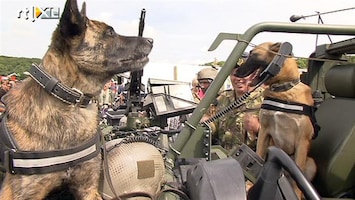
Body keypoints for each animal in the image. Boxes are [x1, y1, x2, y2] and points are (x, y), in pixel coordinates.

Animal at [236, 41, 318, 197]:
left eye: (252, 53)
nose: (236, 72)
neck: (283, 90)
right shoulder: (264, 132)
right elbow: (258, 156)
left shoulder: (302, 141)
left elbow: (298, 176)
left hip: (311, 163)